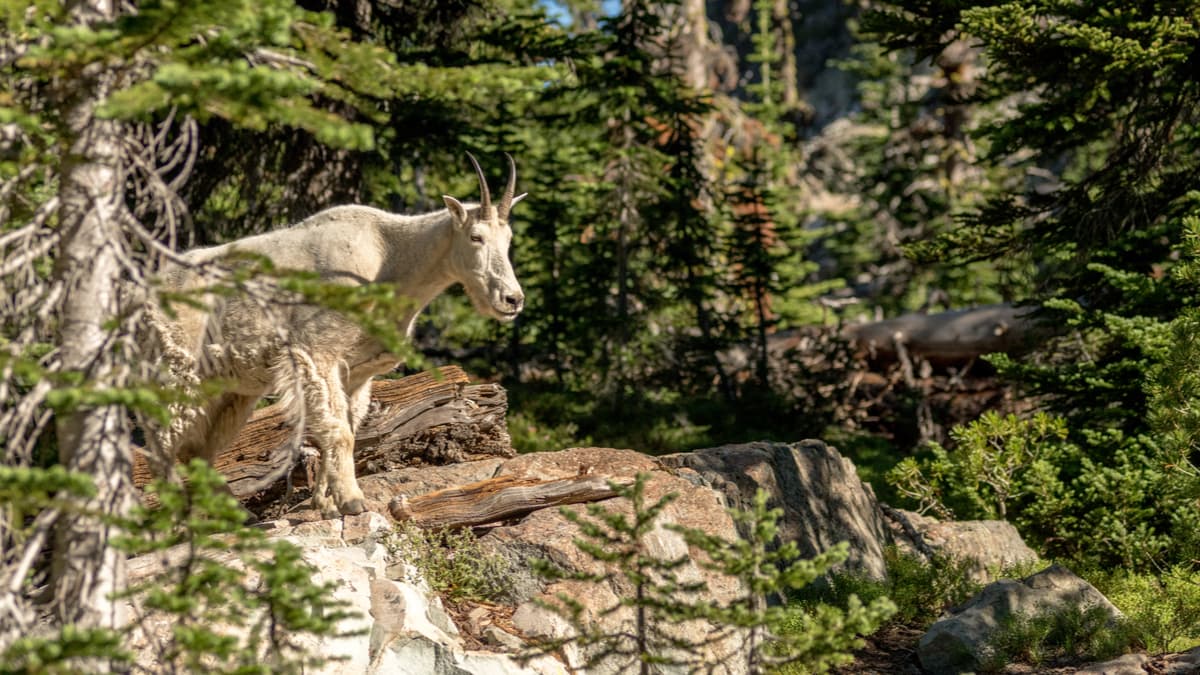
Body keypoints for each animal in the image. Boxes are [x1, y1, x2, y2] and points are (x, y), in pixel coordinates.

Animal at [146, 154, 525, 517]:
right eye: (475, 236)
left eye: (508, 240)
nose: (513, 299)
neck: (390, 263)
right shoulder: (316, 355)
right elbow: (338, 432)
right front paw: (352, 501)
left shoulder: (357, 373)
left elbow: (345, 429)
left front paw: (326, 503)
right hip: (178, 370)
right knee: (161, 440)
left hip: (230, 389)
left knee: (198, 448)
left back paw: (232, 511)